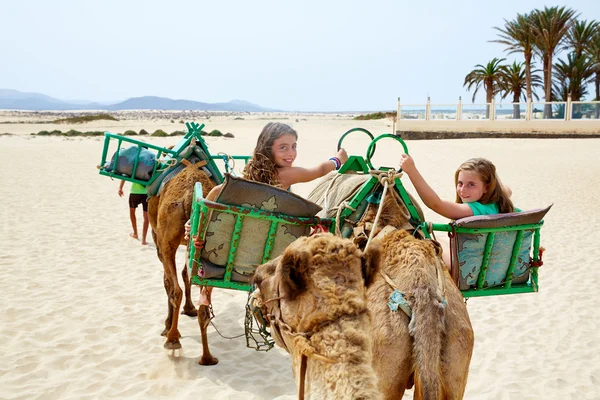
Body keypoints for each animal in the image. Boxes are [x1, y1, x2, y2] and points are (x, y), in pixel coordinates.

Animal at [147, 162, 217, 350]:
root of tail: (188, 195)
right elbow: (186, 275)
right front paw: (190, 308)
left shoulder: (158, 239)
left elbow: (168, 281)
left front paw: (167, 325)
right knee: (204, 299)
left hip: (165, 239)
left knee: (175, 289)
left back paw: (172, 337)